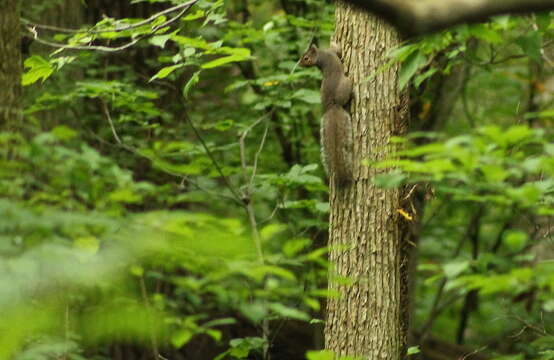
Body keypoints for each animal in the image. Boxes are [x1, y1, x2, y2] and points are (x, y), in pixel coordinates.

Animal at [300, 43, 352, 186]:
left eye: (305, 57)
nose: (299, 64)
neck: (320, 54)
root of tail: (332, 106)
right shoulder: (332, 52)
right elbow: (338, 51)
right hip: (345, 86)